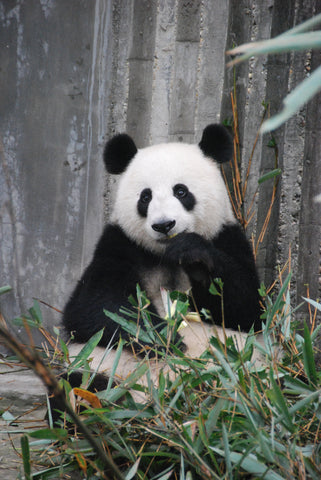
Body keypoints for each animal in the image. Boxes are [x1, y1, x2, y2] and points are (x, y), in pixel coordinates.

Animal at [58, 124, 262, 404]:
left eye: (181, 191)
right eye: (145, 197)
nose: (164, 225)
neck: (165, 254)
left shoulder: (227, 237)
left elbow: (247, 309)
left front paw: (193, 254)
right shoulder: (119, 245)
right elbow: (93, 308)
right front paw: (165, 338)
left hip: (240, 373)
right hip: (97, 367)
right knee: (76, 387)